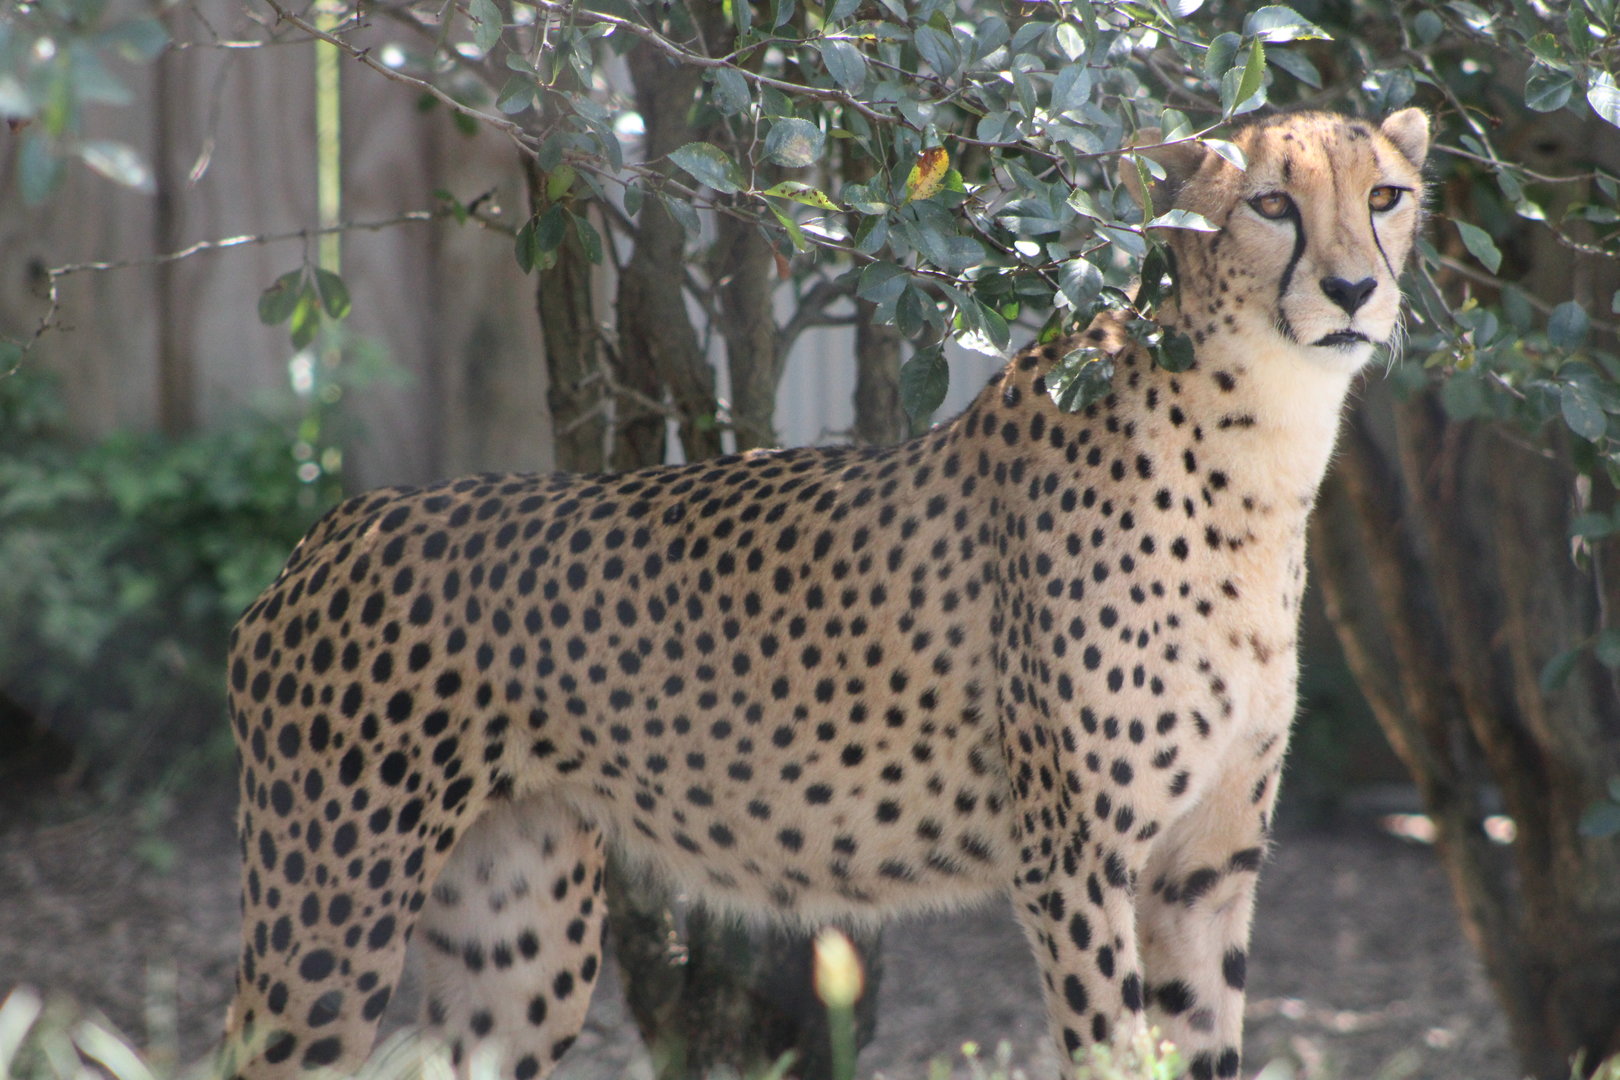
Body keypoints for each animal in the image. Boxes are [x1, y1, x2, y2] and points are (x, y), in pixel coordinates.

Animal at [219, 107, 1430, 1080]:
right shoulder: (1075, 866)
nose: (1355, 289)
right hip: (333, 914)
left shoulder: (1203, 872)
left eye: (1385, 196)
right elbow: (1109, 1047)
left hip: (516, 943)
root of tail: (335, 526)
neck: (1260, 447)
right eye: (1271, 203)